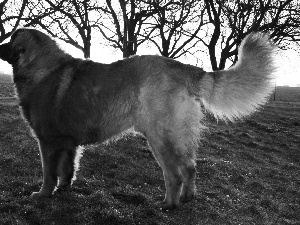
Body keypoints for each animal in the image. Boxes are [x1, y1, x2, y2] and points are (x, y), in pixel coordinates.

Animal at [0, 27, 276, 209]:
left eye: (11, 38)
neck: (41, 68)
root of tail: (185, 68)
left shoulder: (47, 141)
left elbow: (49, 172)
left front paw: (42, 194)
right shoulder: (68, 143)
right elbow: (67, 169)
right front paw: (64, 190)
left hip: (160, 137)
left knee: (175, 174)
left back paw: (167, 205)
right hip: (174, 138)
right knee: (189, 167)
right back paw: (185, 198)